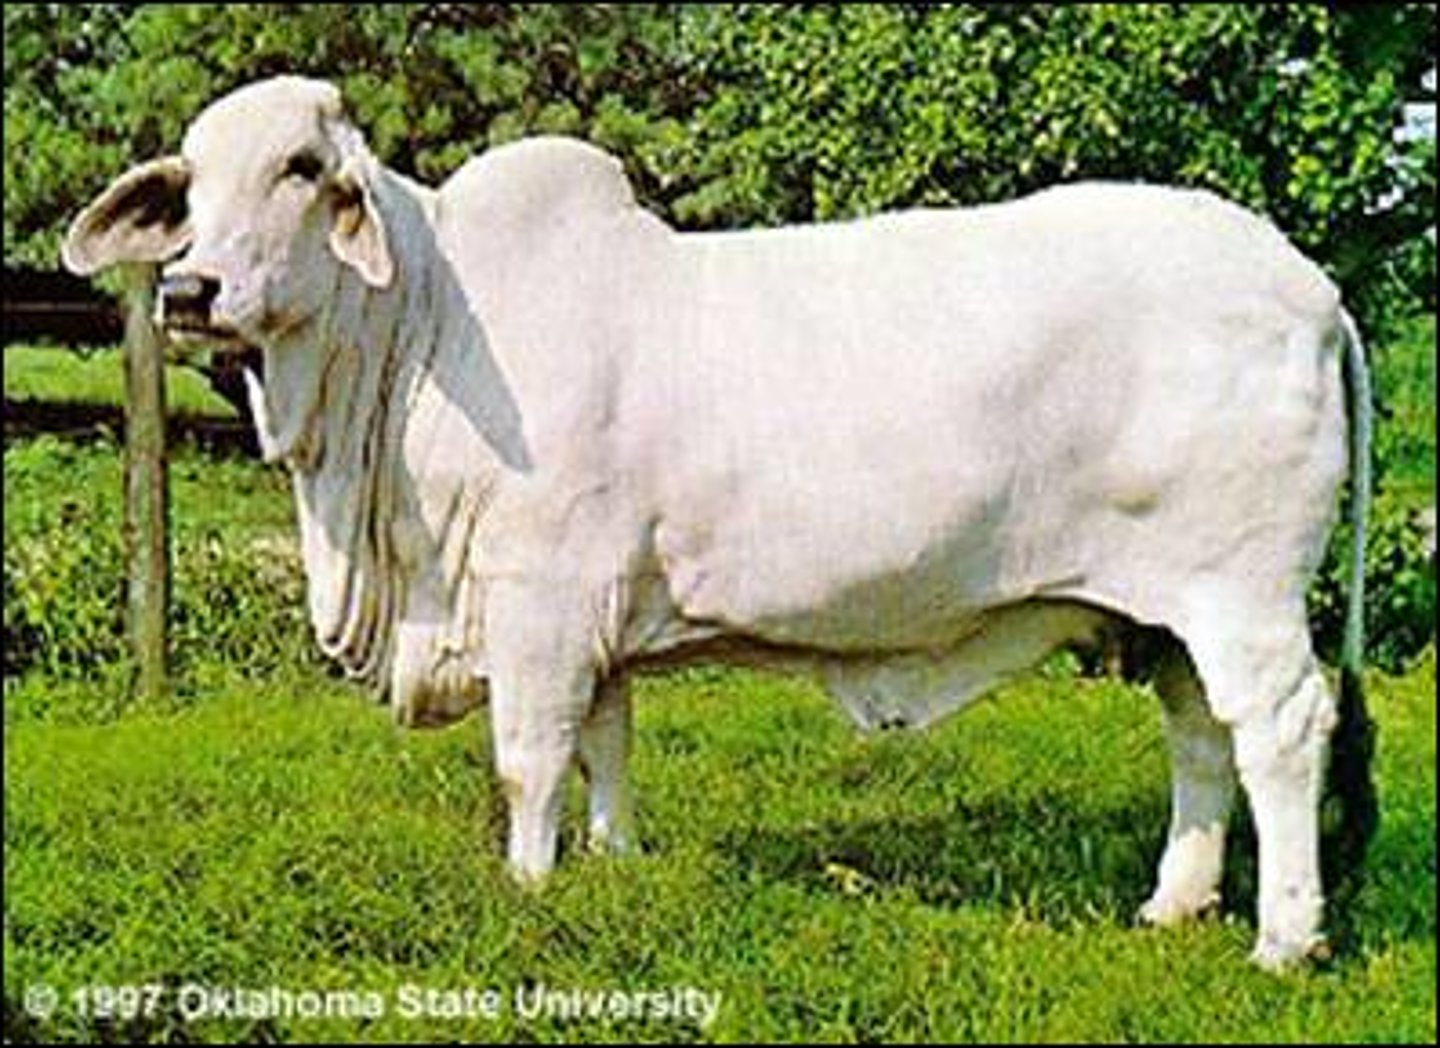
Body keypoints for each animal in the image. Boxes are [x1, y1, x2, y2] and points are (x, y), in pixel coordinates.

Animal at [62, 76, 1374, 969]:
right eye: (188, 181)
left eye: (298, 166)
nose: (190, 290)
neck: (419, 332)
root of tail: (1309, 284)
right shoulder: (591, 613)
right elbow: (607, 742)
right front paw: (611, 862)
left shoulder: (537, 604)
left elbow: (531, 756)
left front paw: (529, 888)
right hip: (1171, 611)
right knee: (1201, 737)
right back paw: (1175, 906)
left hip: (1247, 595)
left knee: (1280, 731)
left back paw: (1284, 938)